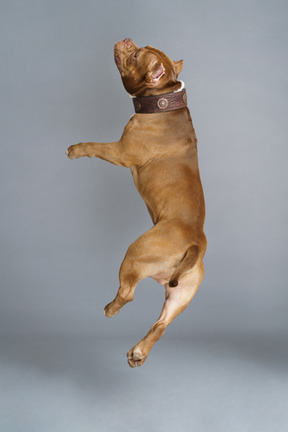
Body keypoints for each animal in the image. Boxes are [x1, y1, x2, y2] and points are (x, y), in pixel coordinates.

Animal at [67, 38, 207, 368]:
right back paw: (139, 353)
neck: (164, 98)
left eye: (134, 56)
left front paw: (77, 149)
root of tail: (196, 241)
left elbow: (95, 145)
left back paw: (110, 309)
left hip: (135, 252)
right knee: (160, 325)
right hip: (181, 293)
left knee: (128, 293)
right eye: (141, 46)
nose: (128, 40)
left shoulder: (119, 151)